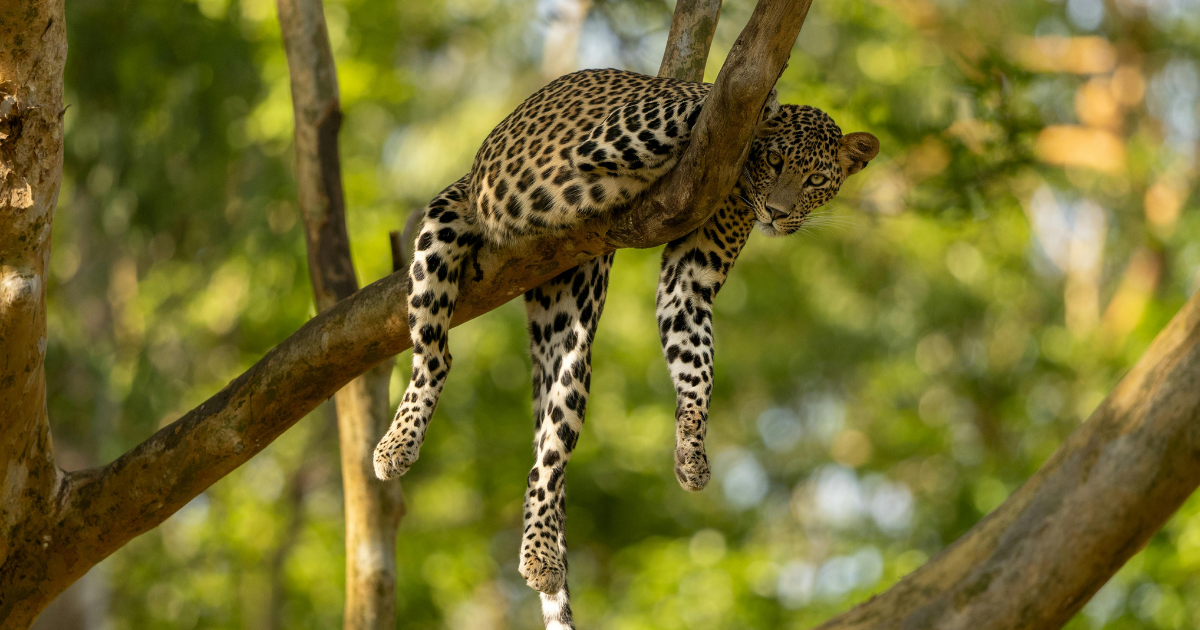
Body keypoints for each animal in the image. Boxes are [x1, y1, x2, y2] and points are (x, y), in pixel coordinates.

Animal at [370, 67, 879, 630]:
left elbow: (697, 365)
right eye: (774, 162)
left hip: (569, 326)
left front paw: (691, 452)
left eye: (815, 183)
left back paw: (542, 554)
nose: (777, 213)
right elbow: (712, 95)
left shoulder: (690, 277)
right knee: (435, 355)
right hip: (445, 222)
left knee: (548, 453)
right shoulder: (617, 134)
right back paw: (396, 446)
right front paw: (764, 96)